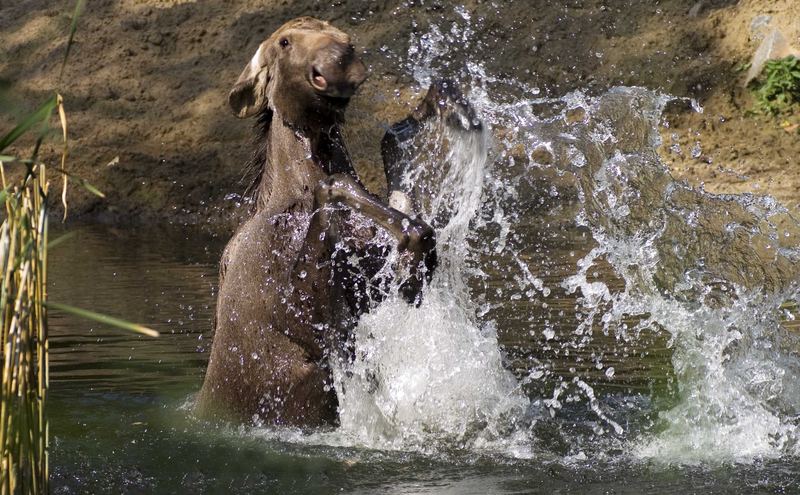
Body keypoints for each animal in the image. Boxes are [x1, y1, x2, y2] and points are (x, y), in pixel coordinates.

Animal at [196, 16, 478, 426]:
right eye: (284, 42)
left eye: (345, 37)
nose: (338, 62)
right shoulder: (300, 315)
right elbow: (336, 187)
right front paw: (413, 249)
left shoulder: (365, 289)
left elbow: (391, 153)